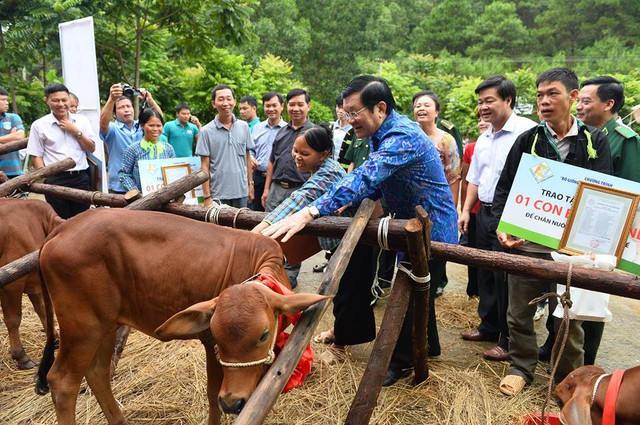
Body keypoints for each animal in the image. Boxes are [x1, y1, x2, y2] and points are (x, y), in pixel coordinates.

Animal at [0, 199, 63, 368]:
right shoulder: (11, 284)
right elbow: (13, 319)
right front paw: (21, 356)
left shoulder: (34, 283)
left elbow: (43, 311)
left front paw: (54, 337)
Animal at [34, 209, 324, 424]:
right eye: (217, 335)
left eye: (264, 335)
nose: (232, 402)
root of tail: (64, 227)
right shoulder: (210, 346)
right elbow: (212, 393)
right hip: (82, 328)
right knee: (62, 382)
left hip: (106, 325)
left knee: (97, 373)